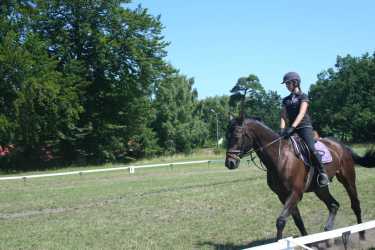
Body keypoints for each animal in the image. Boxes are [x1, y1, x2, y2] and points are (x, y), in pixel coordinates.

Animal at [225, 116, 374, 240]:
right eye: (227, 136)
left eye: (237, 136)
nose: (229, 163)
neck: (280, 157)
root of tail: (341, 145)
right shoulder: (283, 195)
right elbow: (298, 221)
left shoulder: (295, 193)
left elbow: (280, 221)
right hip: (320, 189)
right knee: (333, 205)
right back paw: (327, 232)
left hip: (347, 179)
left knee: (355, 205)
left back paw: (361, 235)